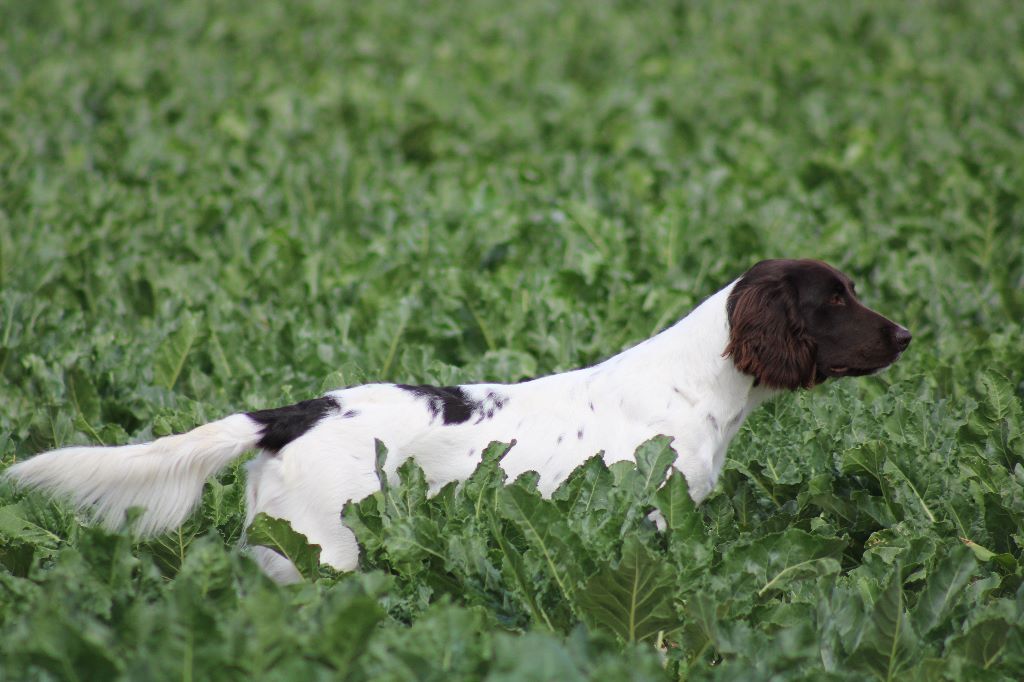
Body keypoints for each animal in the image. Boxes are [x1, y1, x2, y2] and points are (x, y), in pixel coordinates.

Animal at [4, 259, 909, 577]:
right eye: (835, 300)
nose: (906, 334)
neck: (695, 383)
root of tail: (292, 414)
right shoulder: (654, 517)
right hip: (327, 550)